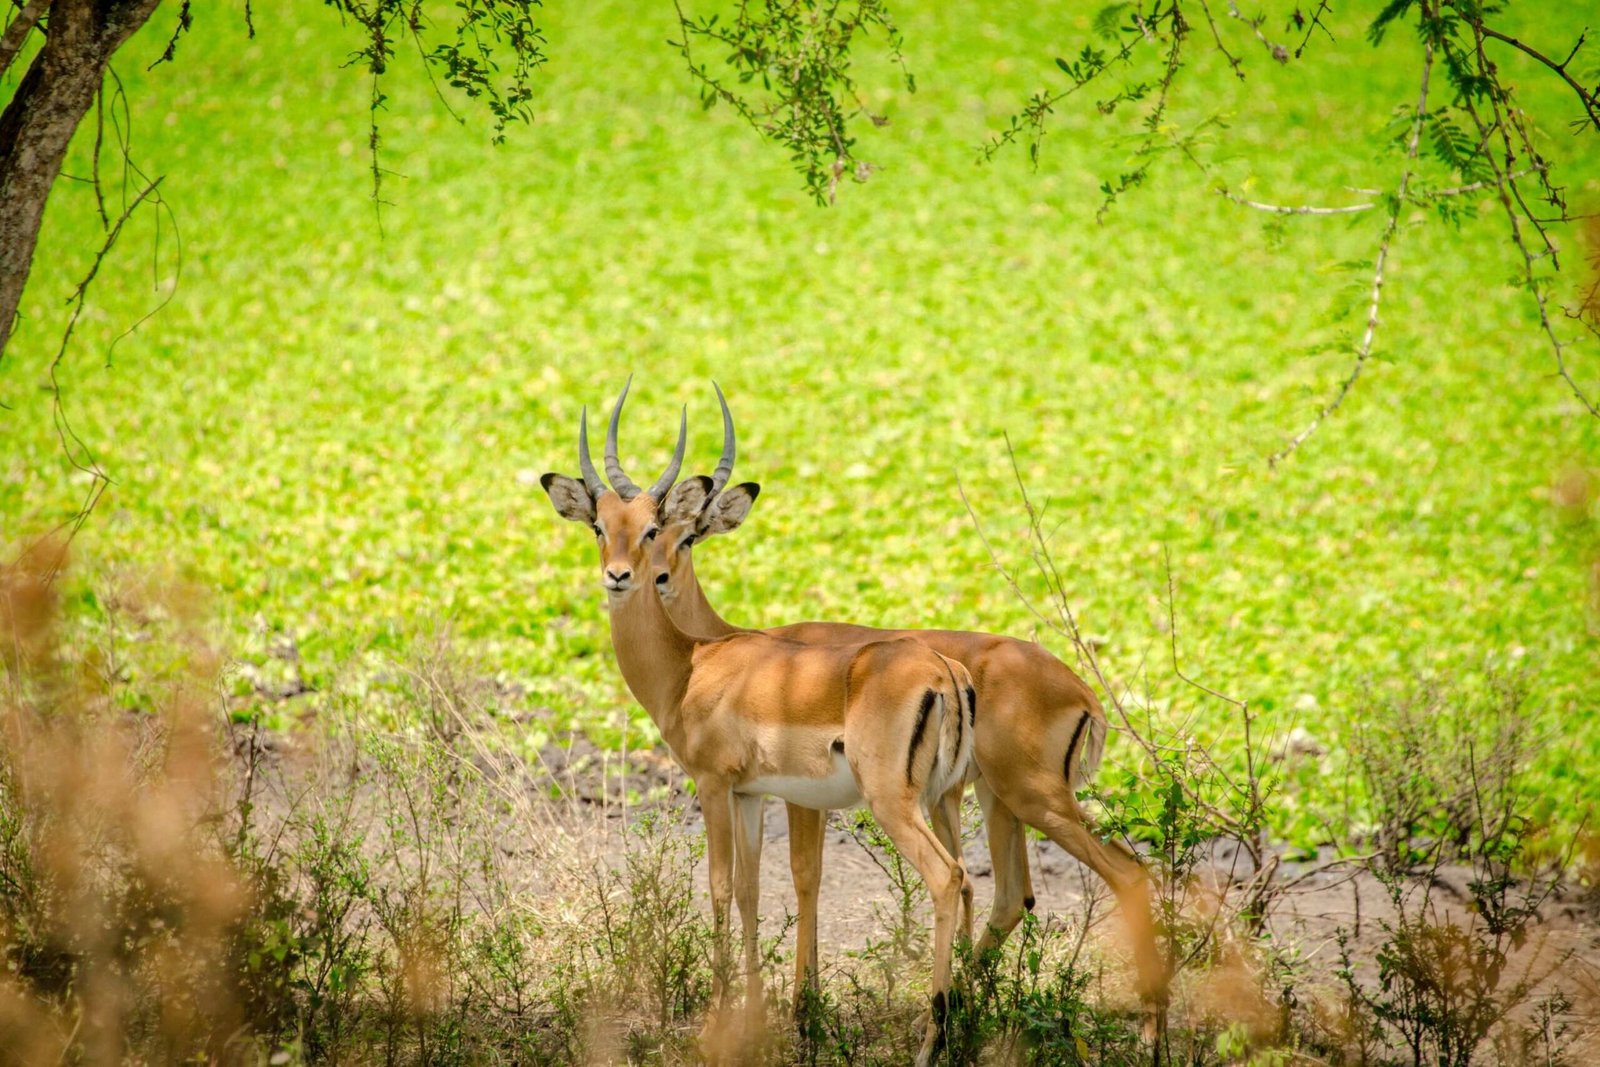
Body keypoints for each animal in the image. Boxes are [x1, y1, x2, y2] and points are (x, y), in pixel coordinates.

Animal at [540, 386, 977, 1064]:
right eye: (598, 526)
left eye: (656, 530)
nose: (621, 576)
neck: (691, 665)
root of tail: (942, 671)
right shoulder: (751, 794)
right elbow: (750, 889)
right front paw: (753, 1016)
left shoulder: (713, 784)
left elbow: (720, 885)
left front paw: (716, 1023)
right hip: (944, 799)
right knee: (974, 882)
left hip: (893, 803)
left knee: (947, 877)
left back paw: (929, 1041)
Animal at [651, 384, 1167, 1004]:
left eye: (687, 536)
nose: (648, 578)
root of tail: (1084, 694)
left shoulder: (795, 796)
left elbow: (801, 879)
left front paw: (803, 1002)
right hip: (996, 800)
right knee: (1011, 893)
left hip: (1030, 799)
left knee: (1113, 876)